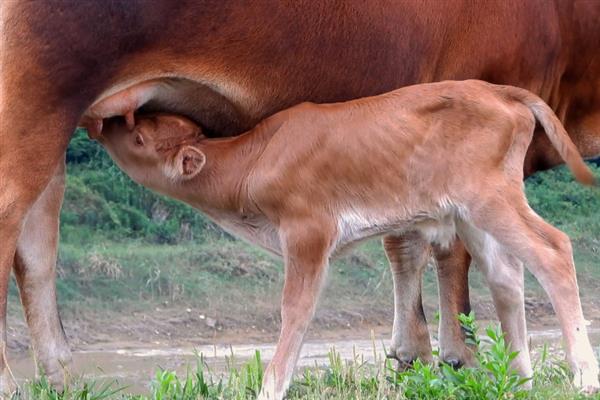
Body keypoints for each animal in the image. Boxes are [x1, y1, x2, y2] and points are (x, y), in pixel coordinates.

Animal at [96, 79, 596, 398]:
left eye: (138, 138)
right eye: (148, 123)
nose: (108, 121)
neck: (254, 162)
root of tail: (498, 90)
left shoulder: (308, 232)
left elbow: (295, 311)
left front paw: (270, 388)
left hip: (489, 197)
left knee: (553, 250)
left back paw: (583, 376)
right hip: (472, 210)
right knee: (506, 272)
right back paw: (520, 380)